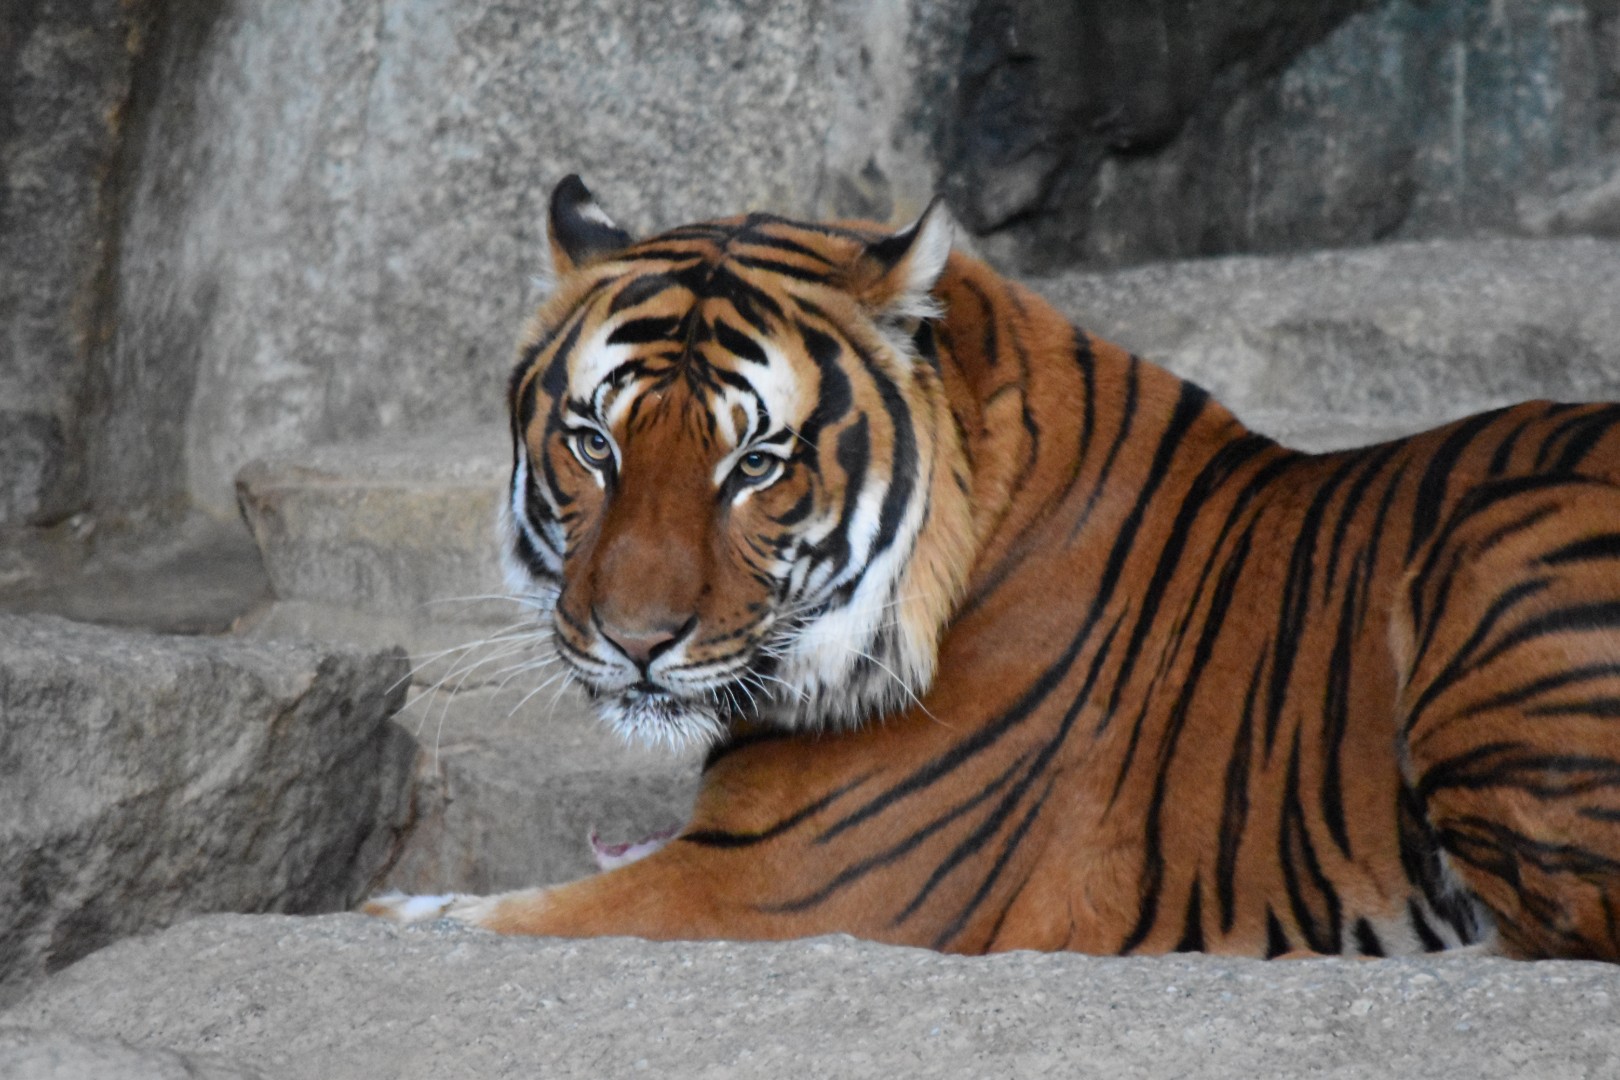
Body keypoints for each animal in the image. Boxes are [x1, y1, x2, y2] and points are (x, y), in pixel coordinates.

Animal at [366, 175, 1620, 961]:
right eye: (594, 444)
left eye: (756, 462)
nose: (635, 642)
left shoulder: (767, 885)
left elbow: (441, 918)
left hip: (1499, 547)